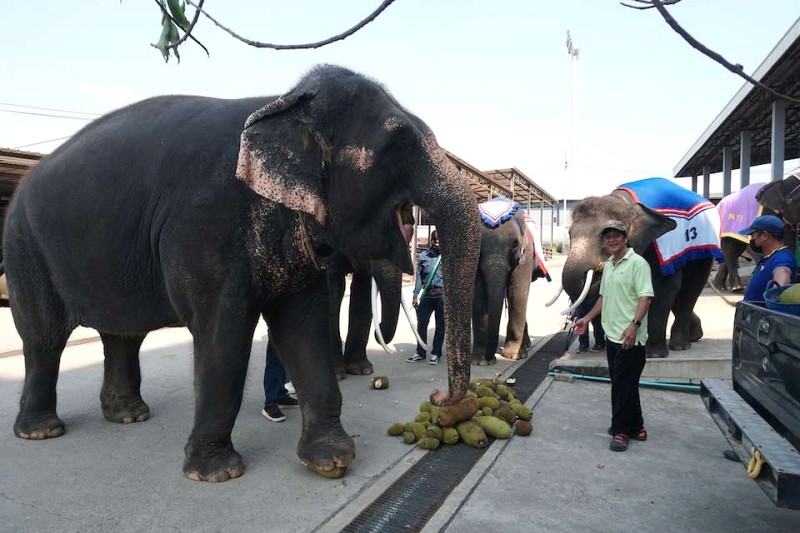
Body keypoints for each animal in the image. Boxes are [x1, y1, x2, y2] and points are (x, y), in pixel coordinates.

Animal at [3, 65, 478, 482]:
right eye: (399, 142)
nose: (437, 396)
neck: (280, 104)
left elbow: (301, 327)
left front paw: (332, 460)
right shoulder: (205, 227)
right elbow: (223, 334)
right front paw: (215, 473)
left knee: (123, 333)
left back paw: (129, 416)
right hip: (24, 247)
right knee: (45, 337)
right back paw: (43, 431)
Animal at [468, 197, 552, 364]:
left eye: (514, 244)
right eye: (479, 243)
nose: (490, 359)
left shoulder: (526, 254)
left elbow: (517, 293)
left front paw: (513, 356)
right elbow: (478, 294)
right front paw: (479, 361)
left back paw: (525, 347)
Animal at [564, 178, 724, 358]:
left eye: (601, 236)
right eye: (569, 235)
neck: (624, 203)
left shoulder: (661, 244)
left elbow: (663, 288)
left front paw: (653, 354)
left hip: (704, 251)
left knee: (690, 289)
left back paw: (680, 346)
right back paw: (695, 336)